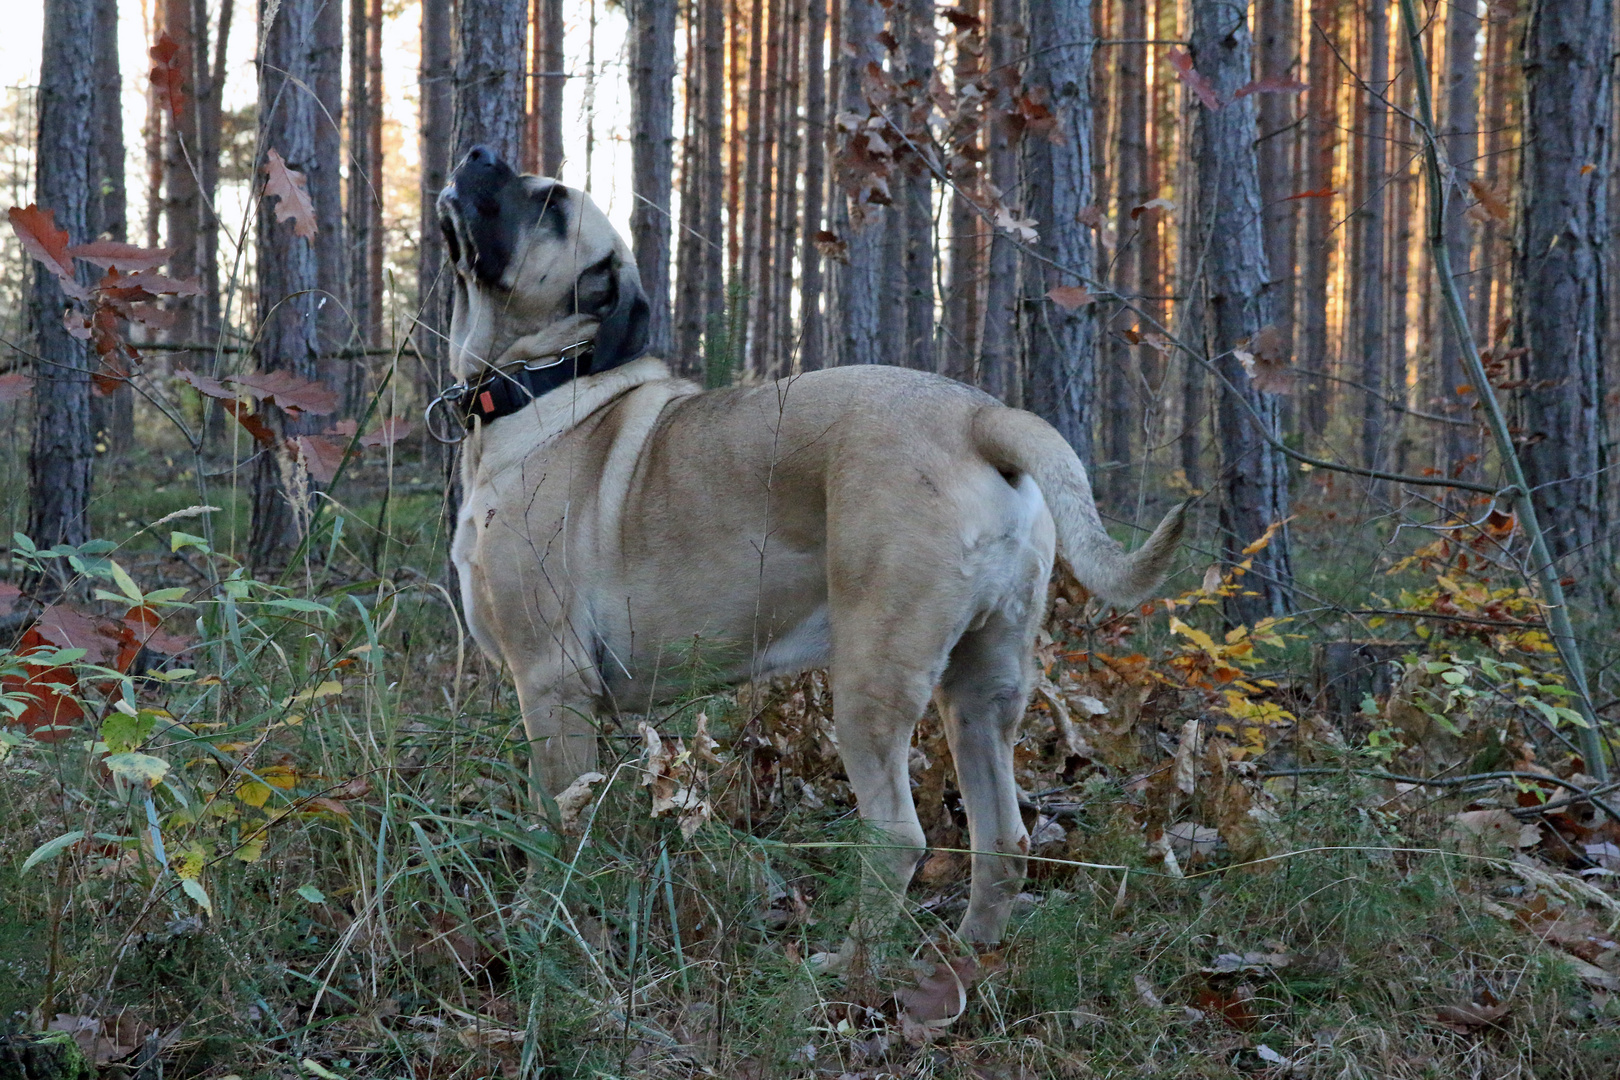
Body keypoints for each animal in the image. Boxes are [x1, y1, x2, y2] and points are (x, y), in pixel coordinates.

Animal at [437, 145, 1185, 945]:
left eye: (550, 204)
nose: (479, 153)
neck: (536, 384)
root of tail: (981, 418)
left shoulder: (552, 683)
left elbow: (552, 825)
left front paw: (537, 924)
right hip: (983, 689)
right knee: (1003, 841)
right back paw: (968, 958)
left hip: (870, 681)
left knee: (897, 838)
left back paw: (847, 961)